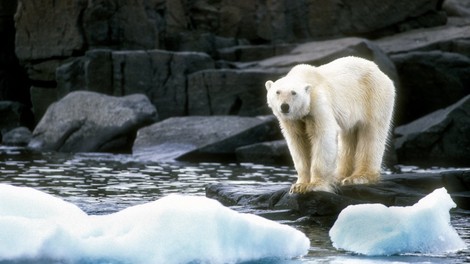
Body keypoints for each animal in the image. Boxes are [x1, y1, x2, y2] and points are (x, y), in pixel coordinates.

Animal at [266, 56, 394, 193]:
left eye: (293, 92)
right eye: (277, 92)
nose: (284, 106)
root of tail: (379, 71)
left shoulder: (317, 103)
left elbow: (323, 136)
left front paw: (314, 185)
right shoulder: (293, 120)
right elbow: (298, 141)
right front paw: (298, 185)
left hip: (374, 96)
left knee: (371, 134)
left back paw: (359, 177)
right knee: (348, 138)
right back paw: (340, 176)